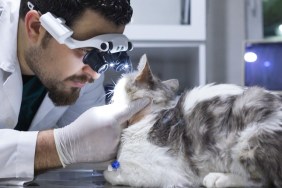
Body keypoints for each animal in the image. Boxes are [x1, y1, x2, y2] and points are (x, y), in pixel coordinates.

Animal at [103, 54, 282, 187]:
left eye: (120, 82)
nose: (111, 90)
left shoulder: (161, 171)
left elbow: (113, 174)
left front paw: (110, 171)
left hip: (248, 135)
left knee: (262, 181)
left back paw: (218, 178)